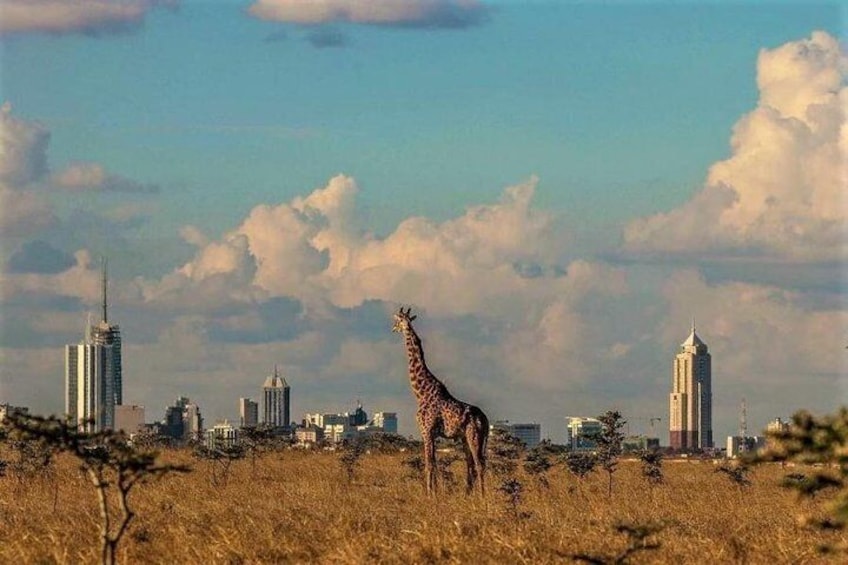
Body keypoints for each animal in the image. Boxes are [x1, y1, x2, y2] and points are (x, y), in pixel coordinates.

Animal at [392, 306, 490, 496]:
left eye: (398, 320)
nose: (393, 328)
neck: (421, 392)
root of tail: (486, 420)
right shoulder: (431, 434)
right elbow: (434, 464)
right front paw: (435, 493)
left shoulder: (426, 431)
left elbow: (429, 465)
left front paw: (430, 495)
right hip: (466, 438)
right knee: (471, 465)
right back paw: (467, 494)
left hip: (474, 436)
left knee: (479, 464)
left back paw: (482, 496)